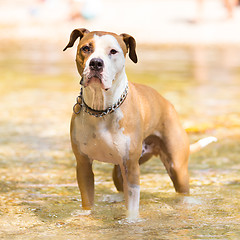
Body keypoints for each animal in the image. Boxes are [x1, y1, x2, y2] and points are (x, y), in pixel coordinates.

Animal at [62, 28, 217, 219]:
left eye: (113, 51)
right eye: (86, 48)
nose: (96, 63)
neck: (102, 109)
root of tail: (167, 103)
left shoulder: (131, 167)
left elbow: (132, 205)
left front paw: (131, 222)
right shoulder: (83, 164)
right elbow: (87, 200)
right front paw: (86, 215)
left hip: (177, 168)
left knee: (181, 188)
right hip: (119, 171)